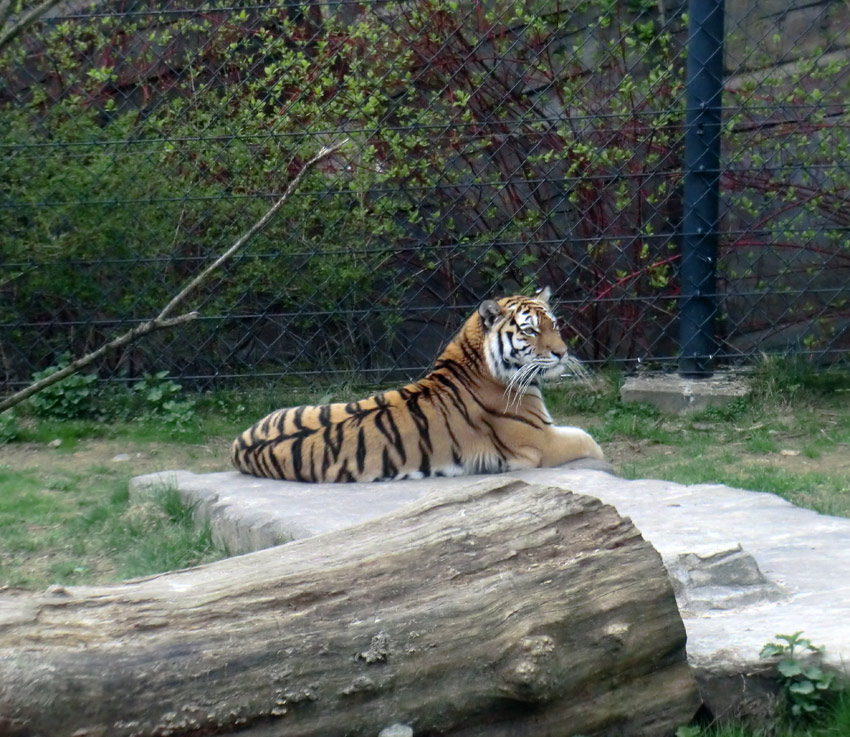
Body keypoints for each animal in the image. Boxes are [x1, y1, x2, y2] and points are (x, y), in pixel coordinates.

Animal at [232, 288, 604, 484]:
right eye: (530, 330)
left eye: (554, 324)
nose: (562, 352)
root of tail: (238, 444)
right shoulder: (542, 441)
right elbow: (591, 441)